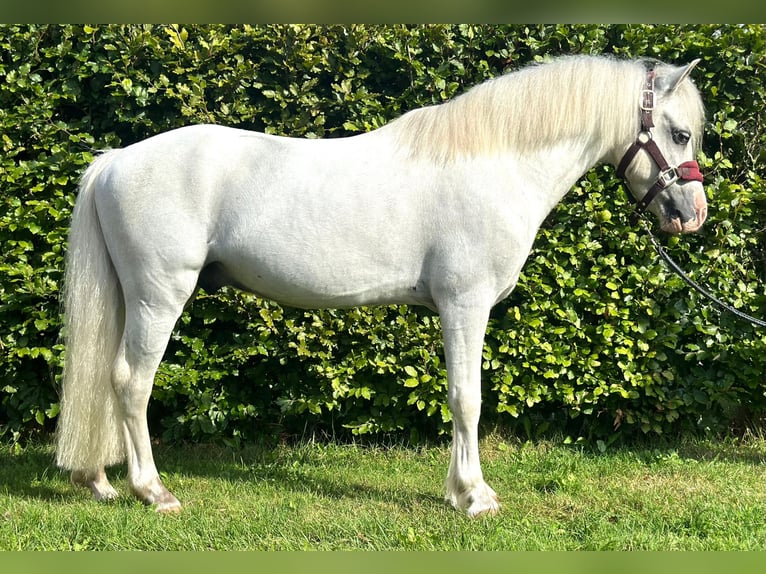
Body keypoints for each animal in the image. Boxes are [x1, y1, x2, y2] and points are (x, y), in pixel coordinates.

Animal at [57, 55, 712, 516]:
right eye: (680, 134)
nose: (693, 215)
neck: (494, 163)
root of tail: (114, 160)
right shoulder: (464, 305)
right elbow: (467, 399)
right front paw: (476, 497)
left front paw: (459, 491)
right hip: (158, 297)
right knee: (131, 382)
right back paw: (153, 492)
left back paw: (100, 482)